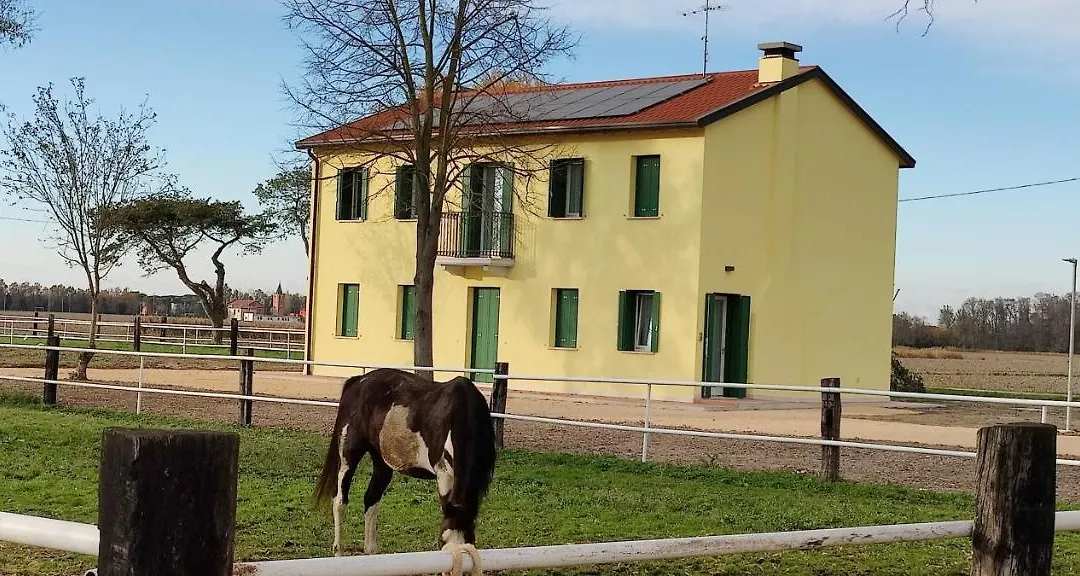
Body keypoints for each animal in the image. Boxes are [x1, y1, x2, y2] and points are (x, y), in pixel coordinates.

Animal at [313, 367, 497, 571]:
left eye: (469, 542)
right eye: (442, 543)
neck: (461, 416)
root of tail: (358, 381)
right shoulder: (444, 475)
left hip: (382, 462)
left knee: (371, 499)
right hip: (348, 454)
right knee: (340, 501)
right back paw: (338, 552)